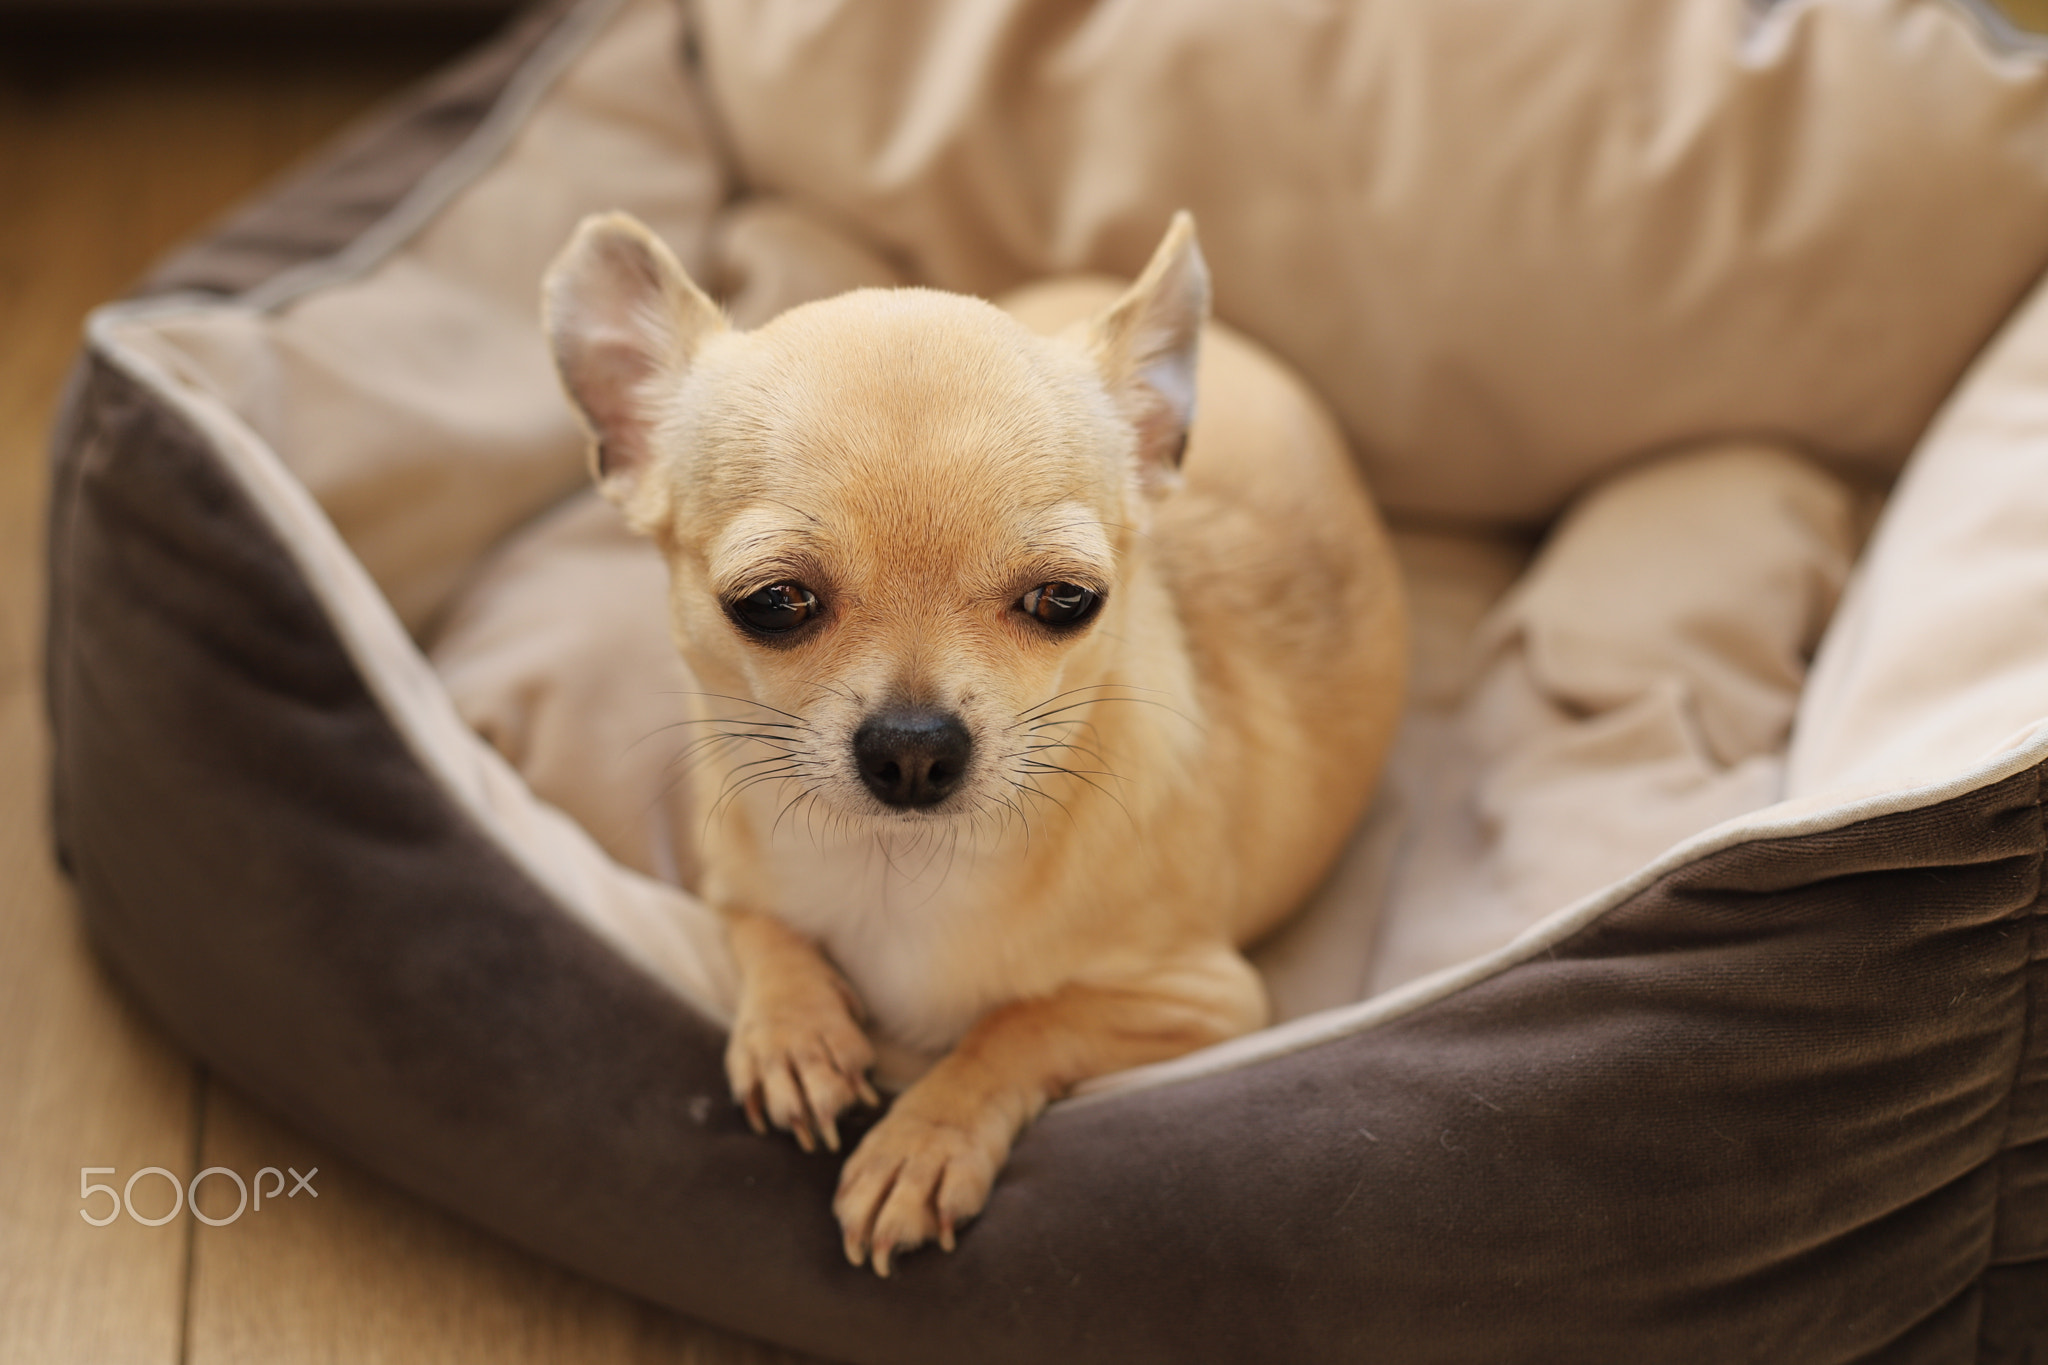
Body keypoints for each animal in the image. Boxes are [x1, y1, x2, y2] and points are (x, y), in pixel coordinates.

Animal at [544, 208, 1409, 1277]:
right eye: (772, 602)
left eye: (1066, 600)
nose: (915, 746)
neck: (898, 867)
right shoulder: (729, 880)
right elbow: (764, 929)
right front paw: (794, 1031)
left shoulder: (1206, 999)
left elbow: (1019, 1022)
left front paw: (923, 1140)